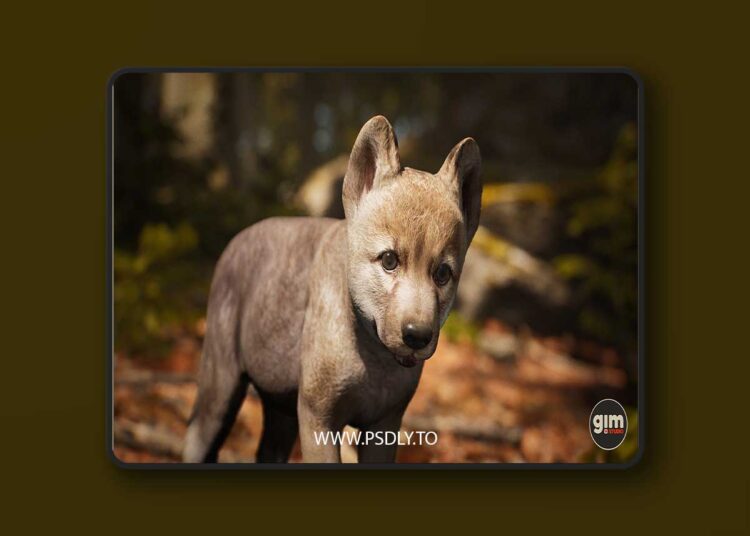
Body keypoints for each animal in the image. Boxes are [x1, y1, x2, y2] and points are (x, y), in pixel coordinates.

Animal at [183, 116, 482, 463]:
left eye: (443, 274)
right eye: (389, 260)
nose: (417, 336)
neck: (374, 359)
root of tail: (237, 239)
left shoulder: (385, 425)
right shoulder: (319, 418)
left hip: (281, 406)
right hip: (221, 384)